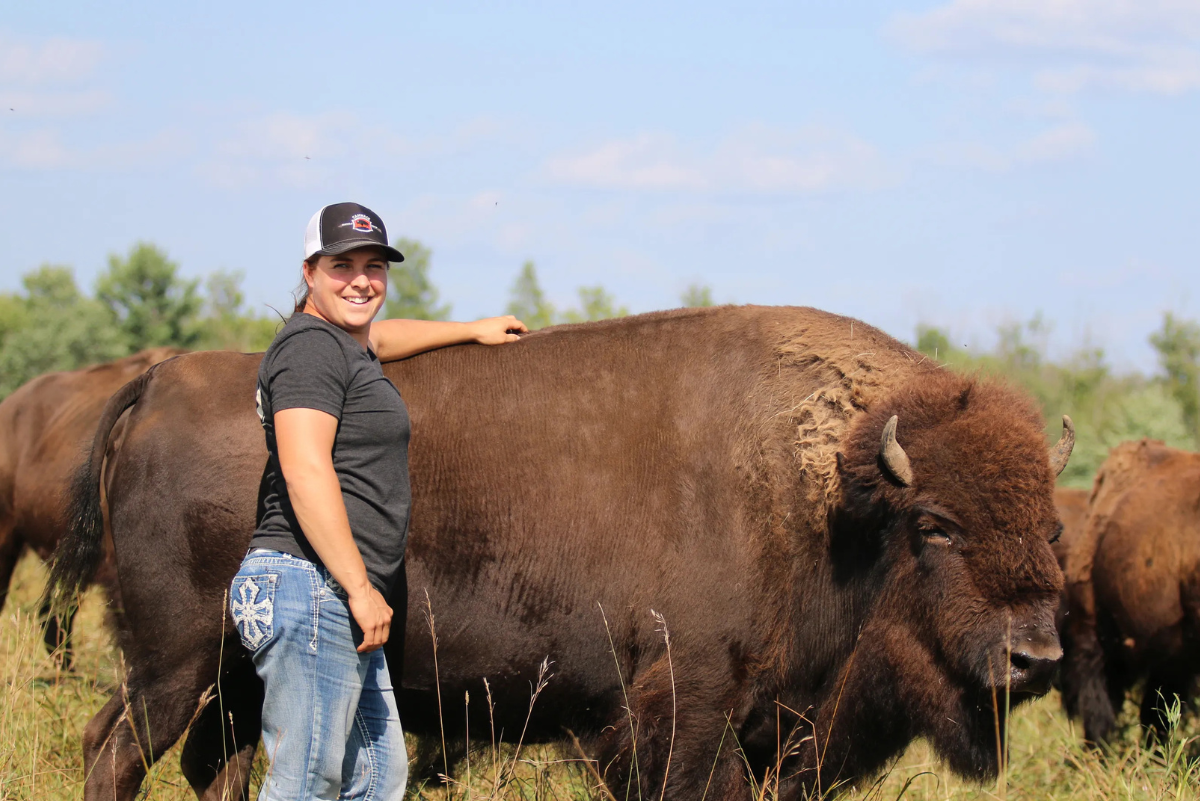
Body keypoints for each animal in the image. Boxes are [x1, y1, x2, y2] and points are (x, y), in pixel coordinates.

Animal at [50, 306, 1073, 800]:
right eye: (935, 524)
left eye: (1053, 527)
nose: (1035, 657)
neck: (831, 501)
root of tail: (160, 380)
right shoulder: (684, 713)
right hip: (175, 659)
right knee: (116, 750)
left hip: (227, 674)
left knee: (209, 766)